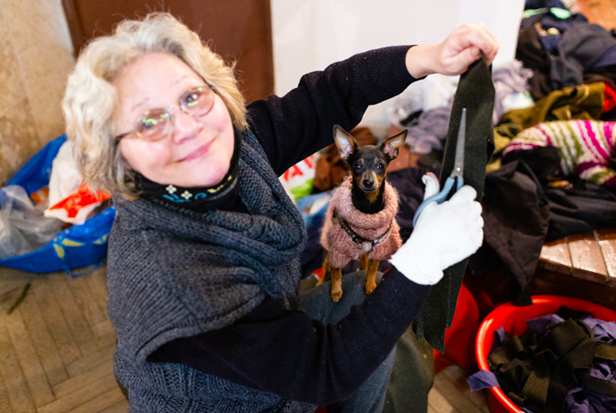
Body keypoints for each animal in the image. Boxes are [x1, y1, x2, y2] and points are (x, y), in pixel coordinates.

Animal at [318, 124, 410, 300]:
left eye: (380, 165)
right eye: (357, 166)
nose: (368, 182)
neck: (368, 208)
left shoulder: (379, 248)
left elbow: (373, 267)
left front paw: (370, 285)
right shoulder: (337, 250)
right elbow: (336, 272)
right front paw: (336, 291)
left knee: (362, 259)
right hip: (328, 250)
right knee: (326, 266)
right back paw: (320, 283)